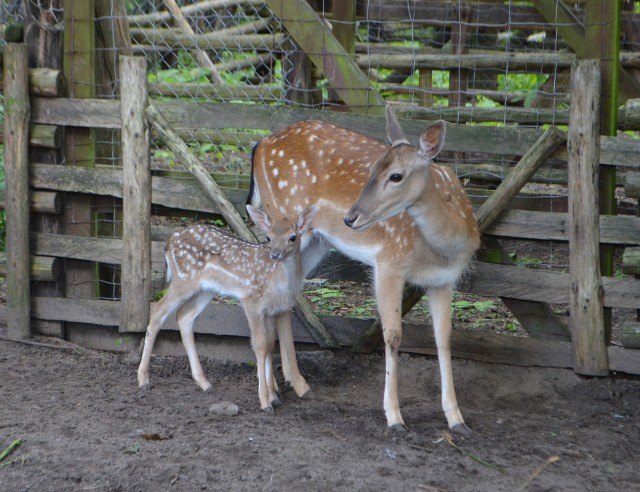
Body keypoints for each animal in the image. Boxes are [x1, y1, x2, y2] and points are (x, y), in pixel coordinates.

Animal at [138, 204, 318, 412]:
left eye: (292, 237)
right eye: (268, 237)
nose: (275, 254)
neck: (280, 283)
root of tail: (168, 242)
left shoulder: (275, 309)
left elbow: (271, 345)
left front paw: (274, 397)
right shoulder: (252, 301)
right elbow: (260, 345)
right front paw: (265, 401)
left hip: (207, 289)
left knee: (184, 316)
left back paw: (205, 383)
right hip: (183, 280)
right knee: (158, 311)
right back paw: (143, 379)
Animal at [250, 106, 480, 430]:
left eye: (396, 175)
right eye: (371, 170)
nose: (350, 217)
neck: (443, 251)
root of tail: (260, 144)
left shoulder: (443, 281)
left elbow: (444, 339)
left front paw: (456, 418)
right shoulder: (388, 264)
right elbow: (393, 336)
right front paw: (394, 416)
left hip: (311, 241)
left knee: (285, 296)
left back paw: (297, 386)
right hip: (280, 226)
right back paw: (269, 395)